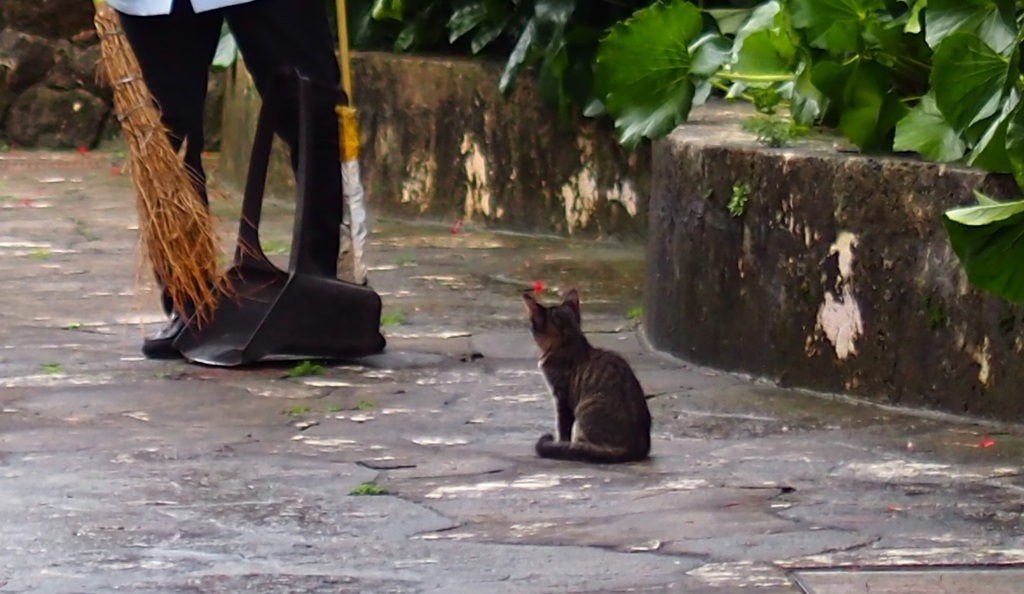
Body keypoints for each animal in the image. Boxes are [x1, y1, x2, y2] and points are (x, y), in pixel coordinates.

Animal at [524, 286, 651, 464]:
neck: (568, 342)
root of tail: (635, 448)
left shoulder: (562, 397)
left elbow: (563, 427)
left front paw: (560, 443)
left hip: (586, 407)